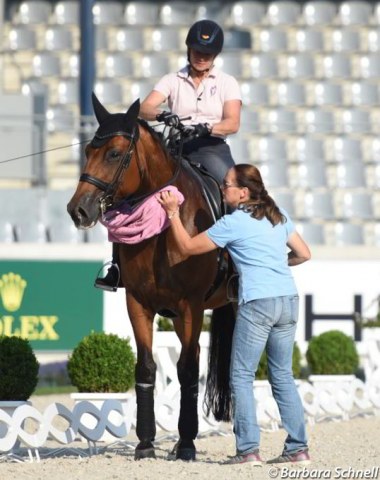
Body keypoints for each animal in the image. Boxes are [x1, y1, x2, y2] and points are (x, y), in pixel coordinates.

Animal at [67, 94, 236, 462]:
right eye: (87, 150)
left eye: (115, 153)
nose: (78, 210)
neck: (164, 224)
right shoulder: (139, 303)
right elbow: (145, 367)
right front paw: (145, 443)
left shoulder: (190, 307)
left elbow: (187, 370)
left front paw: (186, 444)